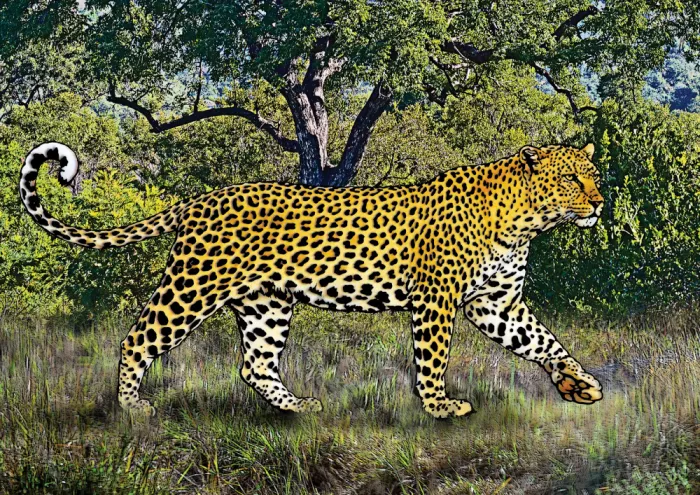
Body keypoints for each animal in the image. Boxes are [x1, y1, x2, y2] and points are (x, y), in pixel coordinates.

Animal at [20, 141, 604, 418]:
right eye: (571, 179)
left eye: (593, 176)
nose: (599, 203)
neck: (525, 220)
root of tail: (200, 198)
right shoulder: (437, 300)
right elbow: (433, 359)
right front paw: (440, 406)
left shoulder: (497, 303)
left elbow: (543, 341)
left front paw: (579, 384)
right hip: (192, 286)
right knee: (137, 338)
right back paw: (131, 407)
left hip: (266, 304)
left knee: (254, 365)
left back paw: (299, 408)